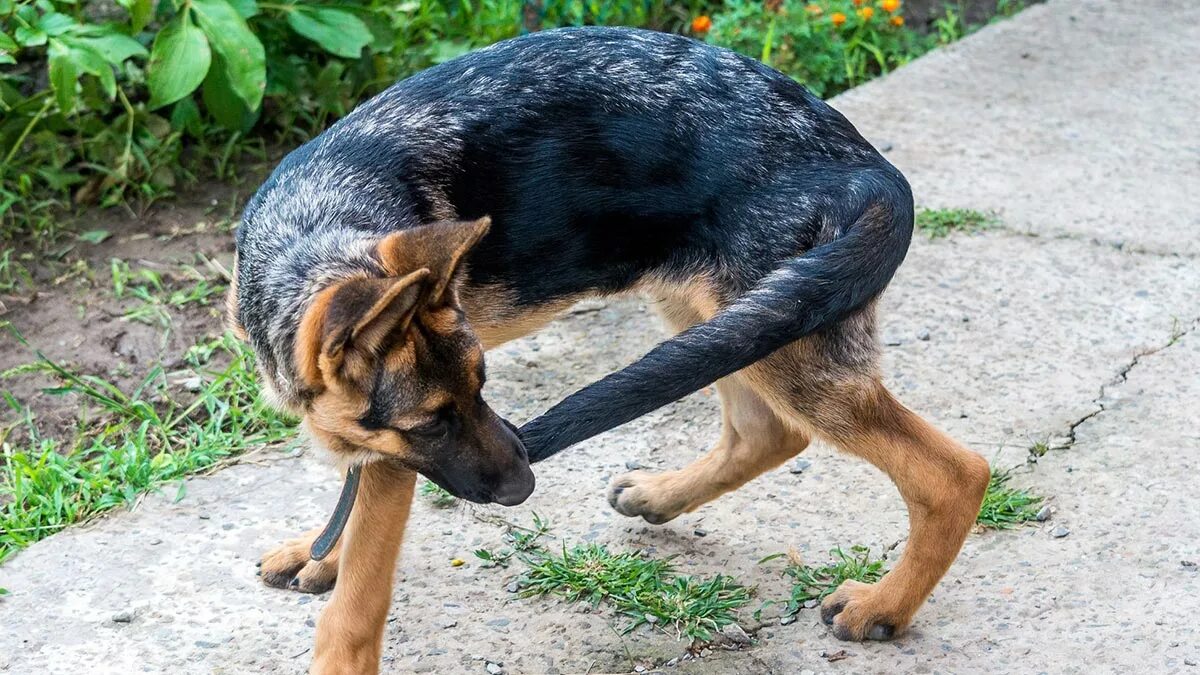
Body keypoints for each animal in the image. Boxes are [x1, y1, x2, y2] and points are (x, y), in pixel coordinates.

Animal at [229, 26, 988, 672]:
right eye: (437, 419)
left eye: (483, 387)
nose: (525, 486)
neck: (312, 232)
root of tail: (868, 170)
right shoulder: (380, 438)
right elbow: (350, 504)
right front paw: (320, 552)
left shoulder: (392, 459)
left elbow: (359, 595)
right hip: (727, 318)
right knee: (766, 432)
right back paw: (662, 496)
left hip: (781, 336)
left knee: (953, 473)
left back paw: (883, 606)